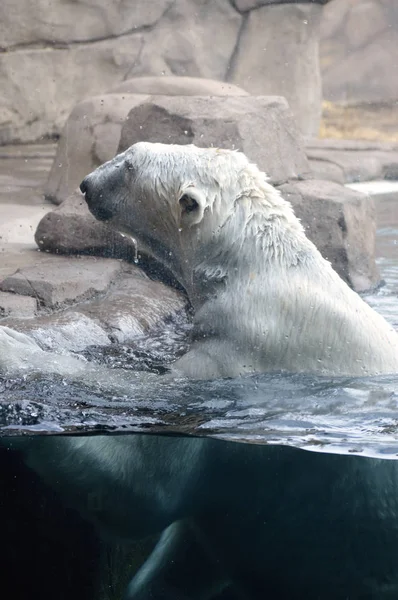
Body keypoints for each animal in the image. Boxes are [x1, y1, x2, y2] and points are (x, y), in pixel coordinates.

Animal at [0, 143, 398, 382]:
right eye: (129, 151)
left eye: (130, 164)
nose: (86, 184)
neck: (247, 269)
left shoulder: (243, 341)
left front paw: (13, 346)